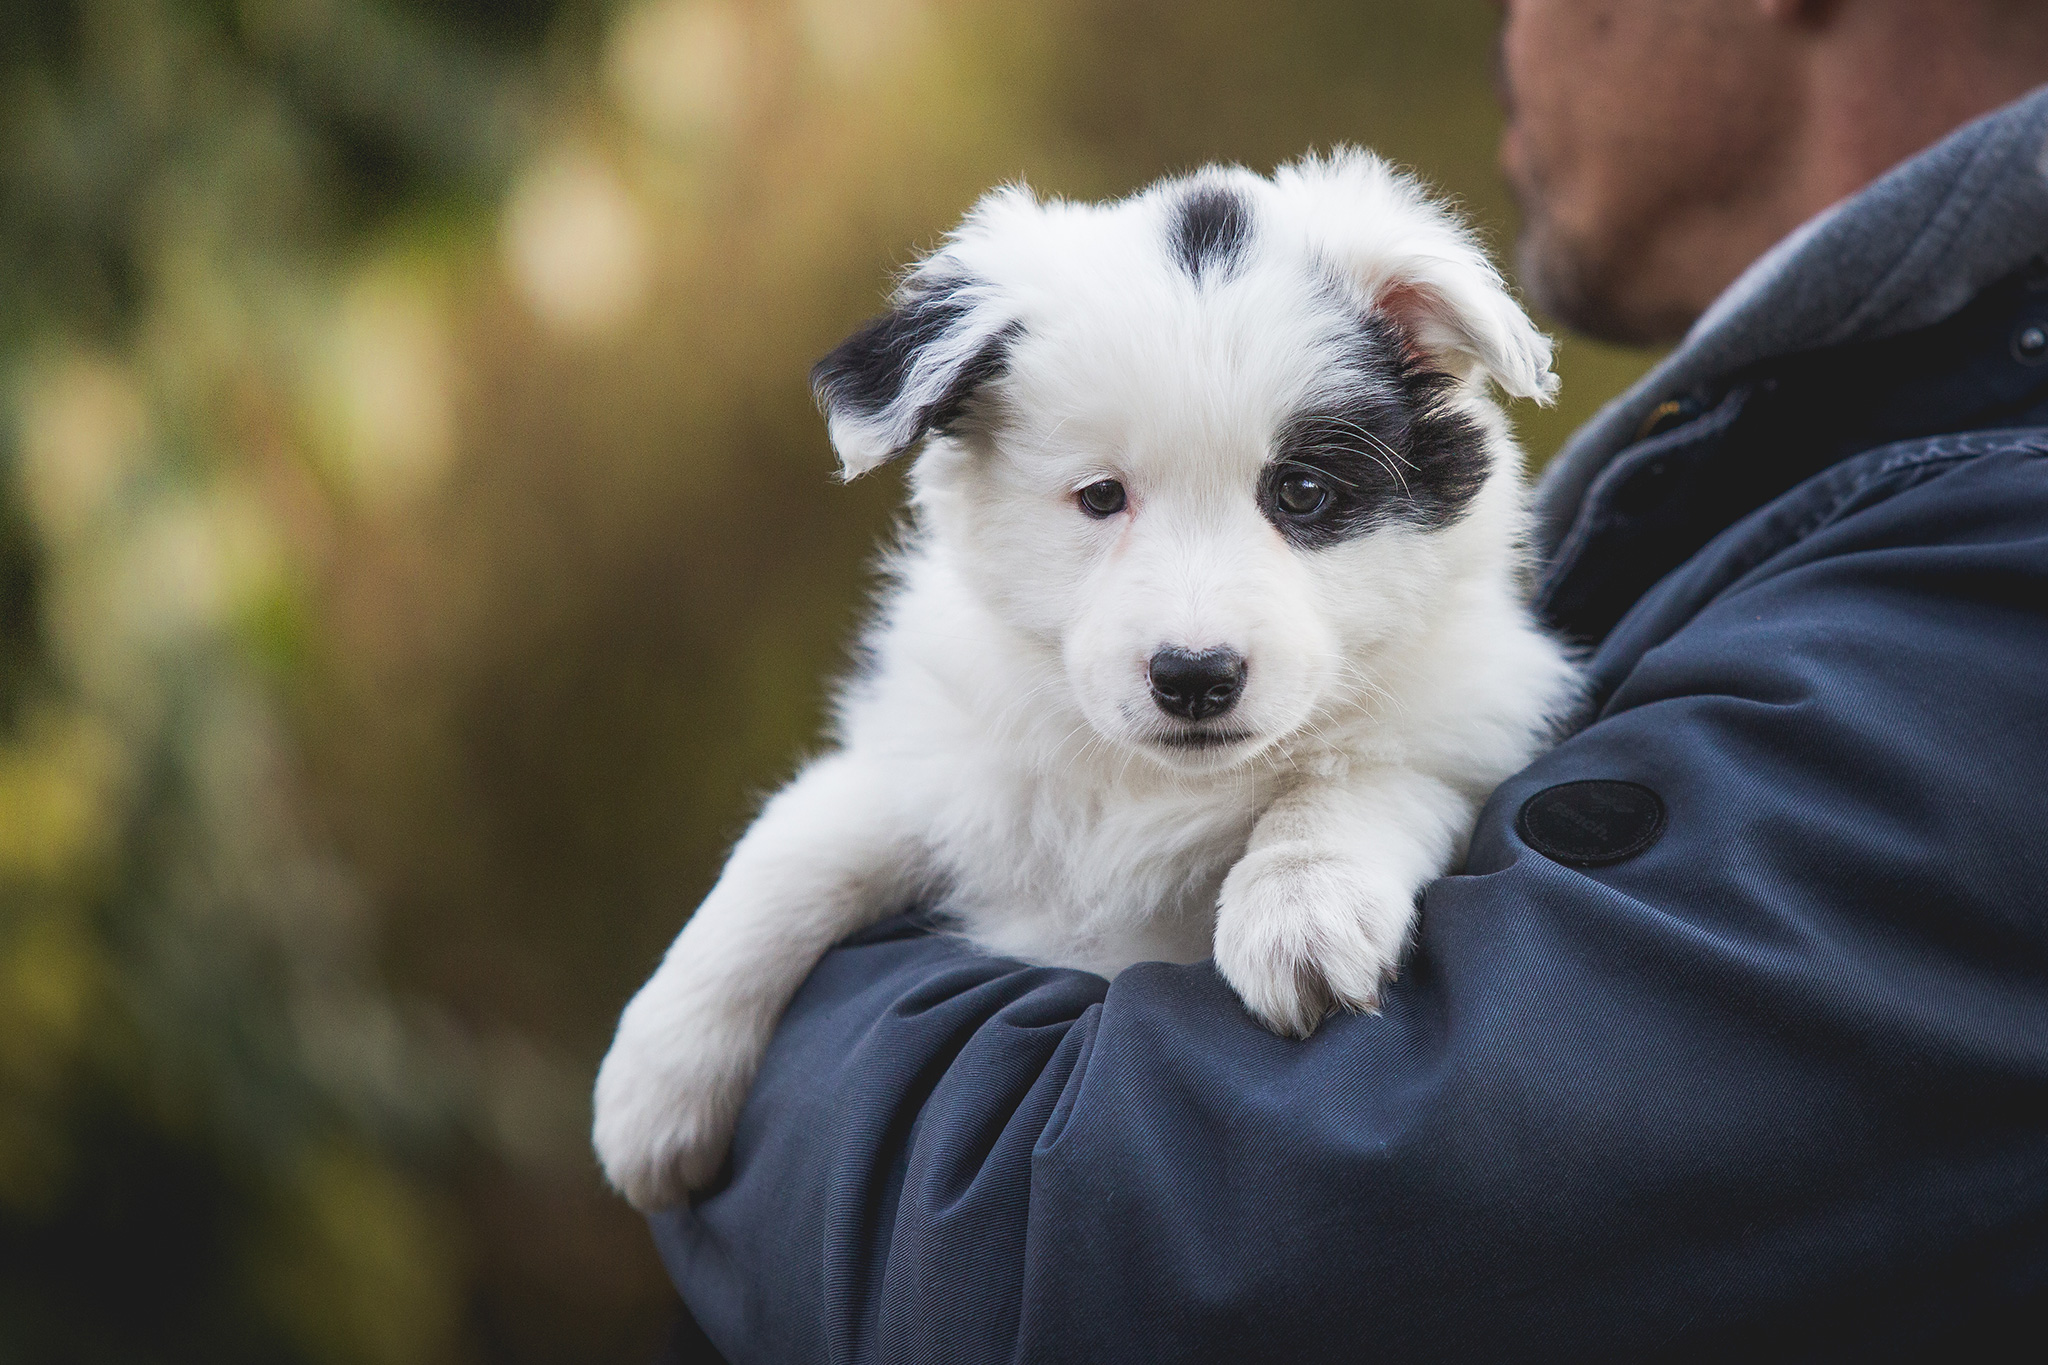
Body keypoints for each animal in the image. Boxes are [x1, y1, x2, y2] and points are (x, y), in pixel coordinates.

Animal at [593, 154, 1581, 1211]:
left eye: (1302, 493)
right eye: (1102, 496)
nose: (1195, 677)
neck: (1147, 783)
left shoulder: (1472, 715)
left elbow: (1357, 778)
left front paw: (1300, 909)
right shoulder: (937, 763)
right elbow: (795, 848)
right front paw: (653, 1086)